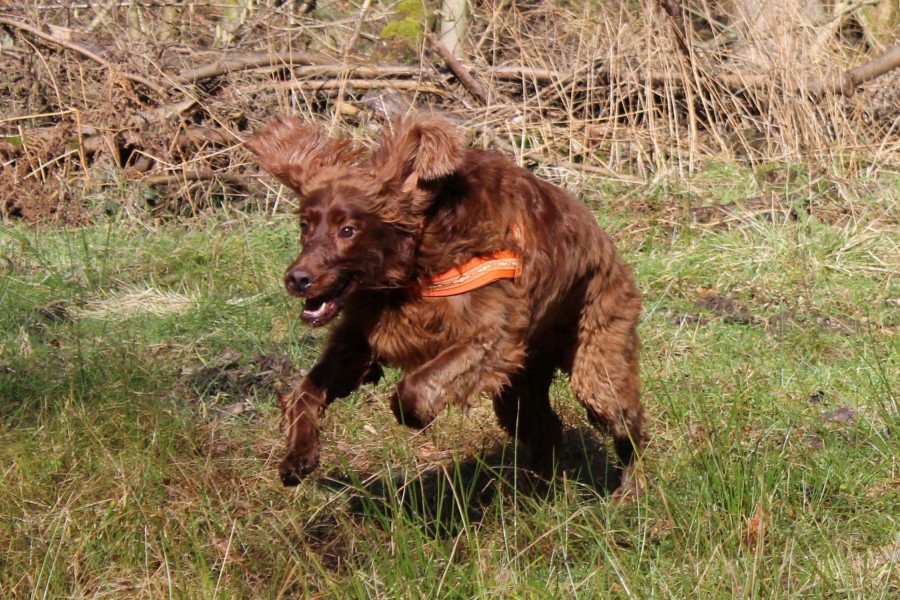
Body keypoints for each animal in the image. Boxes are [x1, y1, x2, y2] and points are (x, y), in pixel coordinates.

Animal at [246, 114, 647, 493]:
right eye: (305, 226)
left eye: (348, 230)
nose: (297, 278)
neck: (420, 254)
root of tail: (611, 251)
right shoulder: (362, 336)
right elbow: (306, 391)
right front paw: (298, 457)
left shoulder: (491, 336)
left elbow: (412, 390)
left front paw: (417, 417)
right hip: (521, 383)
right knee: (545, 429)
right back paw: (534, 493)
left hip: (596, 363)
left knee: (628, 427)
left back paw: (629, 490)